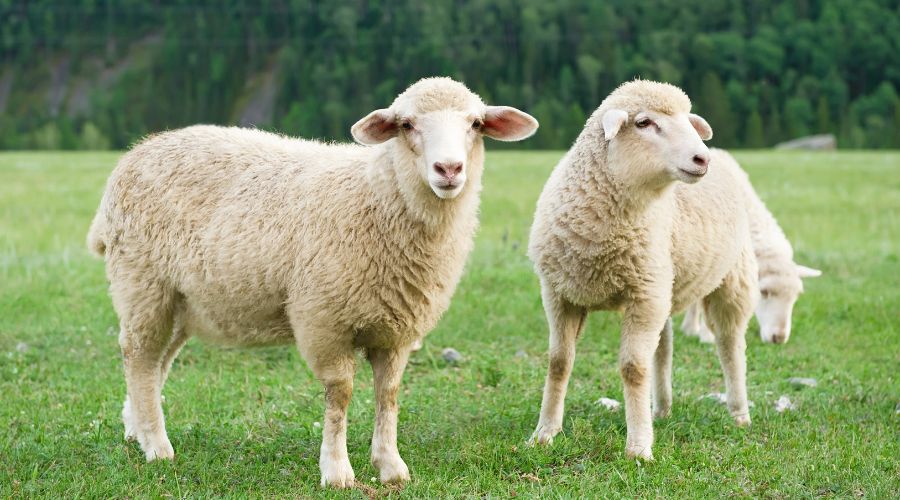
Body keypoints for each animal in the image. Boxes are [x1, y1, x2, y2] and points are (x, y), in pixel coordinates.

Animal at [86, 77, 538, 487]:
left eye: (476, 123)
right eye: (407, 124)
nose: (449, 169)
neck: (378, 197)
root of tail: (136, 154)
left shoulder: (397, 330)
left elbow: (388, 394)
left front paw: (390, 466)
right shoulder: (324, 320)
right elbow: (340, 395)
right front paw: (337, 471)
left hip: (181, 301)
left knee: (156, 363)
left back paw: (137, 428)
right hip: (142, 284)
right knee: (139, 357)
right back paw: (156, 446)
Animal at [527, 80, 757, 460]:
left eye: (688, 121)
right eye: (644, 123)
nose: (702, 159)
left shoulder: (643, 295)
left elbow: (633, 369)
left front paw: (638, 447)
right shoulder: (559, 294)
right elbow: (558, 362)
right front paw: (544, 433)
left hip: (730, 279)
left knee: (730, 345)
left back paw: (739, 413)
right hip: (664, 284)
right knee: (663, 349)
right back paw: (660, 409)